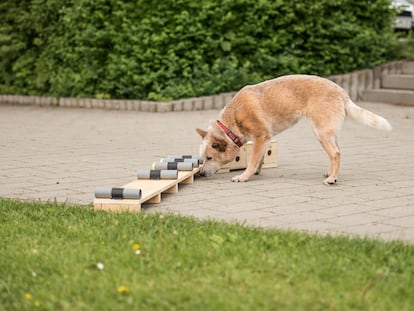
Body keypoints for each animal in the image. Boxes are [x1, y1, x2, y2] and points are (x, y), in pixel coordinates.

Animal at [196, 74, 392, 184]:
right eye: (202, 159)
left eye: (209, 158)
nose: (202, 174)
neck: (232, 122)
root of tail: (342, 92)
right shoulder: (266, 139)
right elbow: (259, 158)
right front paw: (257, 170)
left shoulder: (260, 136)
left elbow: (252, 160)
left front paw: (244, 176)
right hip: (329, 132)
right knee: (337, 152)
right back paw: (331, 173)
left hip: (320, 132)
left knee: (336, 154)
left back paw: (332, 179)